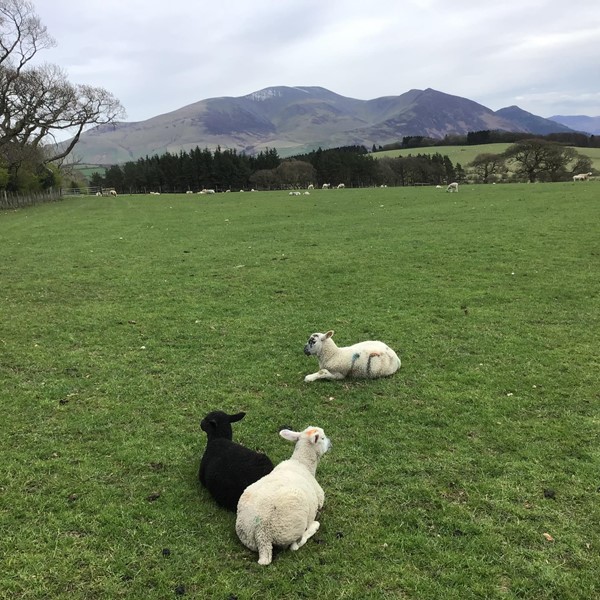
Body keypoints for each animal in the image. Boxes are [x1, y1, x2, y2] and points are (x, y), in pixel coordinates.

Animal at [234, 424, 330, 564]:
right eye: (322, 438)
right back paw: (314, 526)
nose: (330, 444)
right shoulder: (320, 498)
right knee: (295, 545)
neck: (302, 463)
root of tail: (261, 534)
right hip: (293, 525)